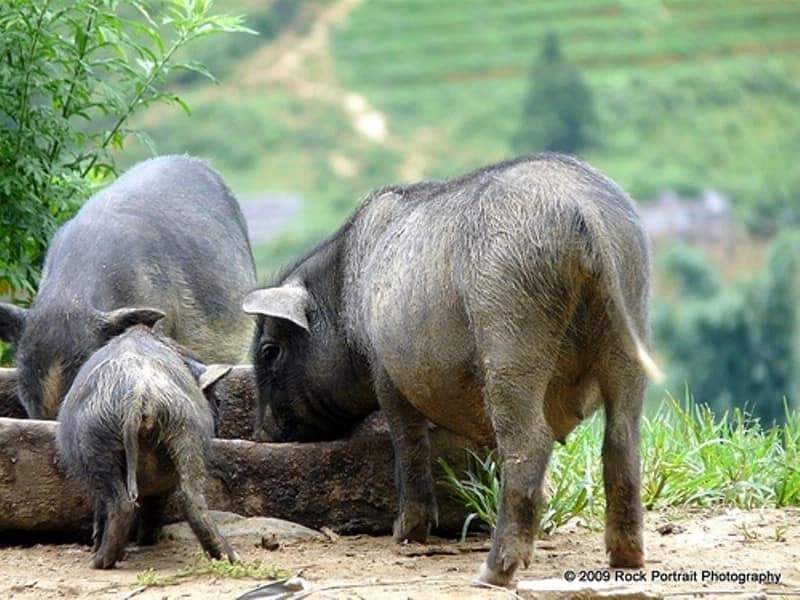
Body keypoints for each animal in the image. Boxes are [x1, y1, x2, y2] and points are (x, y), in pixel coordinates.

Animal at [56, 324, 238, 568]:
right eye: (218, 401)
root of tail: (140, 392)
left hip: (94, 444)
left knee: (122, 504)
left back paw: (100, 561)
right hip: (186, 429)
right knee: (191, 497)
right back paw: (229, 556)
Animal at [242, 154, 664, 584]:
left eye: (269, 351)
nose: (259, 434)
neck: (344, 298)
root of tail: (584, 211)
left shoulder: (386, 370)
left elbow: (408, 443)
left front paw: (404, 535)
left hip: (510, 328)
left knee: (530, 441)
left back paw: (492, 573)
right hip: (630, 316)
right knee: (621, 437)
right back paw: (626, 559)